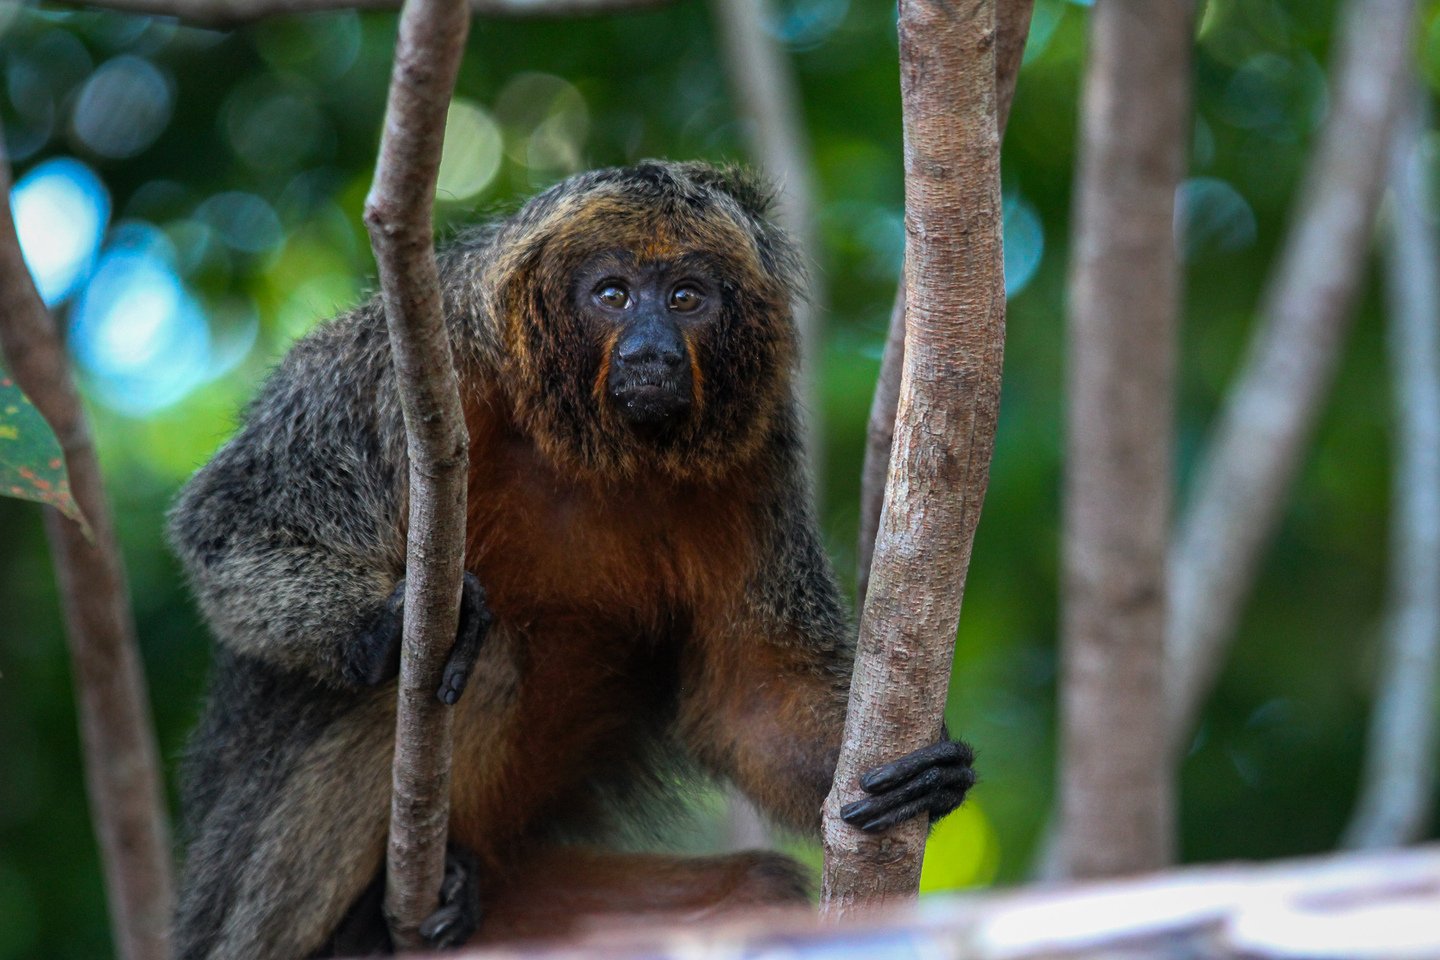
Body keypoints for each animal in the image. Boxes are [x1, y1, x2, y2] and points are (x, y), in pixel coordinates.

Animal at [168, 161, 976, 960]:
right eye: (612, 295)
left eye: (686, 297)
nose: (650, 350)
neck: (583, 452)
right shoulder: (398, 369)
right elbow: (230, 520)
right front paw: (385, 625)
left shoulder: (754, 463)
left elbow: (750, 700)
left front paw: (928, 777)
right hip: (245, 909)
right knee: (483, 660)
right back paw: (364, 924)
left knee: (760, 888)